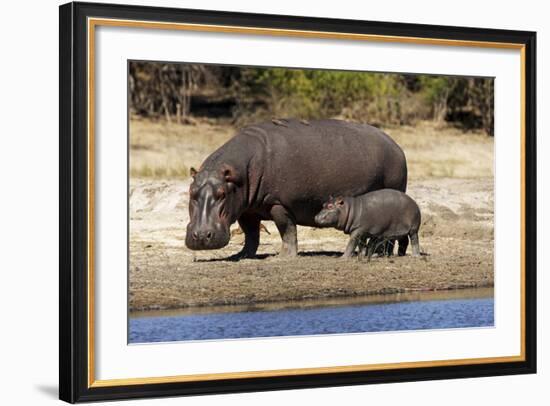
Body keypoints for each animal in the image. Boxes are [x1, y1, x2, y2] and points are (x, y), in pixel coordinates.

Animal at [188, 117, 408, 258]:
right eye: (191, 192)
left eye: (222, 194)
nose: (201, 236)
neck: (238, 174)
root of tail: (396, 145)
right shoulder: (246, 209)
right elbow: (251, 235)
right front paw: (241, 255)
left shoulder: (278, 203)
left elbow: (287, 230)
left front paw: (284, 257)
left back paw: (382, 254)